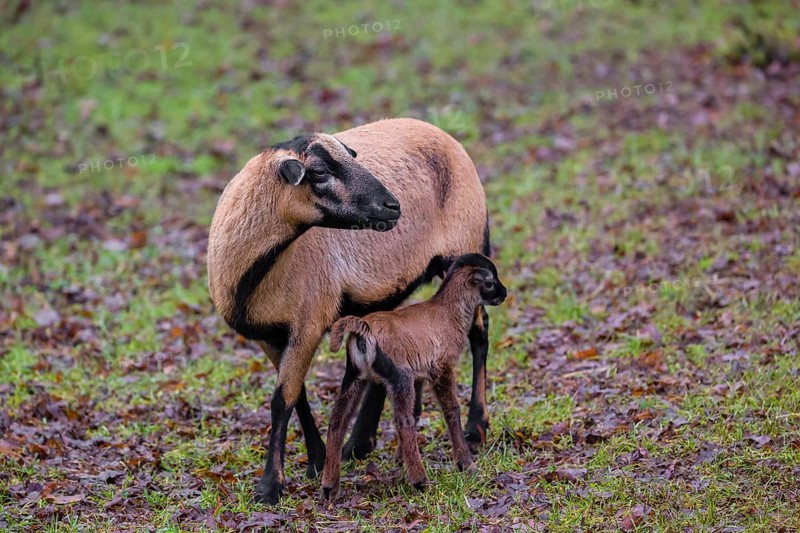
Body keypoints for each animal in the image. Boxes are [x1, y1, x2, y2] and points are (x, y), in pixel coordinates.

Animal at [321, 253, 507, 497]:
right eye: (490, 282)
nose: (505, 293)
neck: (448, 314)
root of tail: (363, 330)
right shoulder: (441, 367)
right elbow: (451, 411)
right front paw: (466, 465)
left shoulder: (419, 373)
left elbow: (418, 410)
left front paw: (400, 460)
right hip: (399, 378)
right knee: (403, 421)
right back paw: (421, 481)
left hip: (355, 375)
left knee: (337, 420)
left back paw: (329, 487)